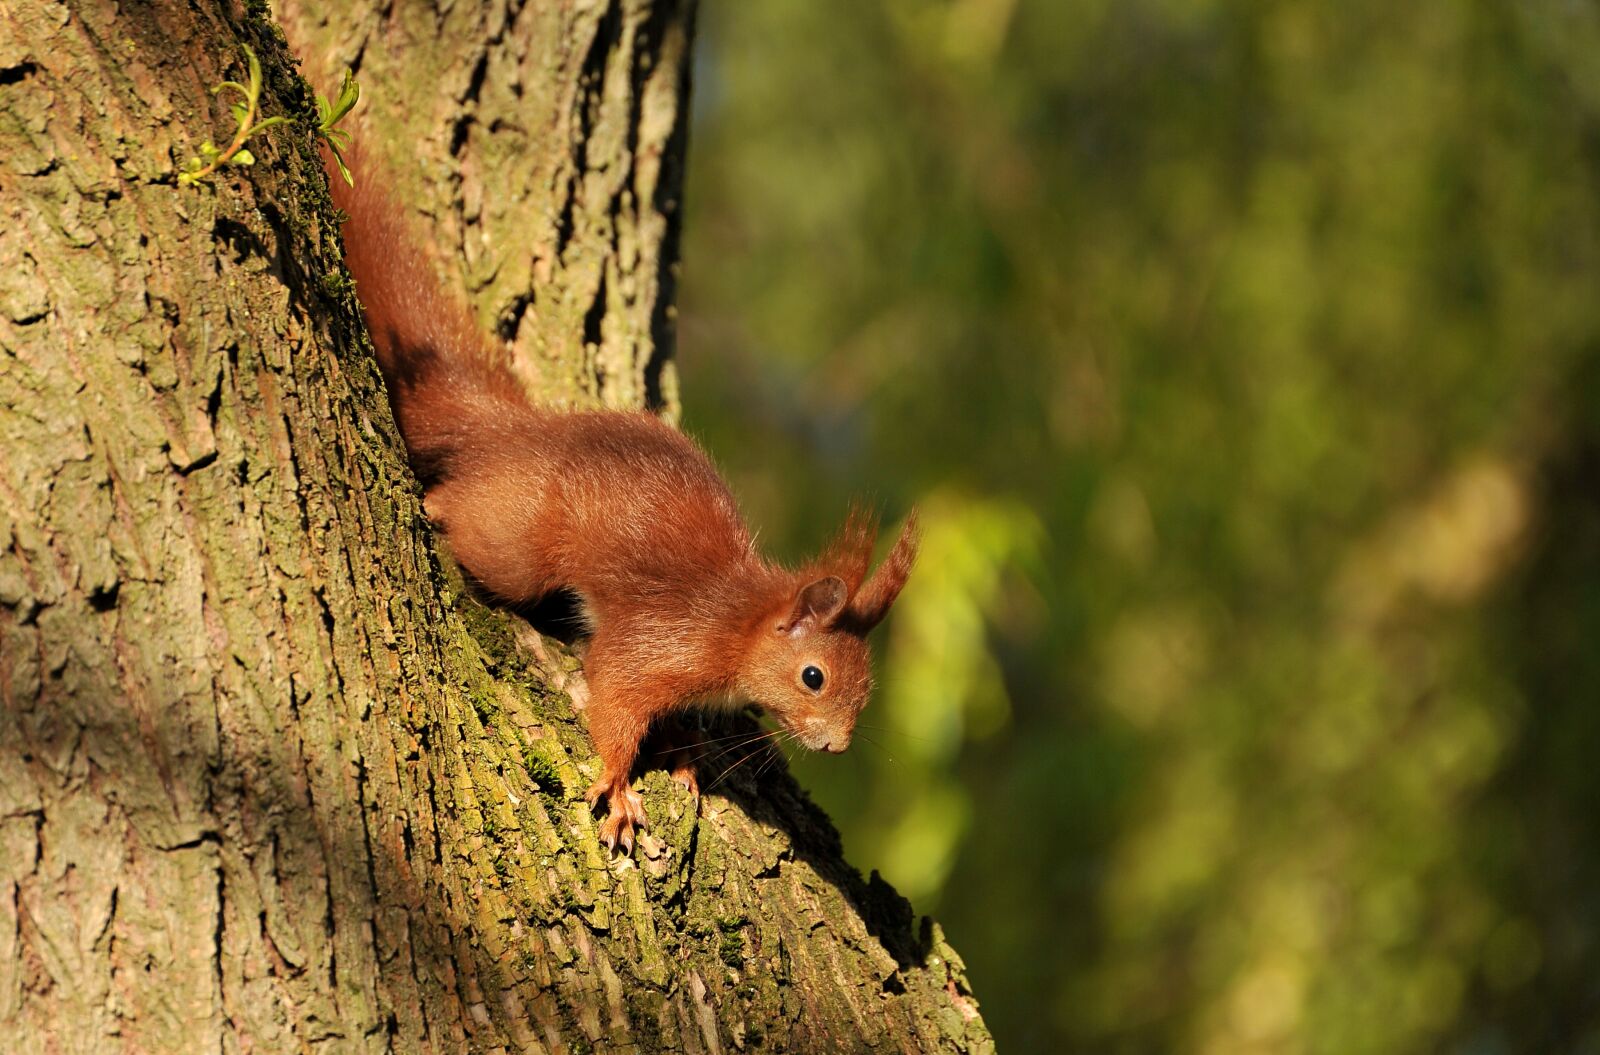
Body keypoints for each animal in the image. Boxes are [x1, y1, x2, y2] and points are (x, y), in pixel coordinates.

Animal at [326, 146, 921, 851]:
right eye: (813, 677)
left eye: (867, 686)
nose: (835, 745)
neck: (738, 627)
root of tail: (512, 435)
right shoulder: (663, 640)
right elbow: (614, 690)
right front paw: (617, 784)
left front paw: (684, 749)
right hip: (517, 547)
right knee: (469, 518)